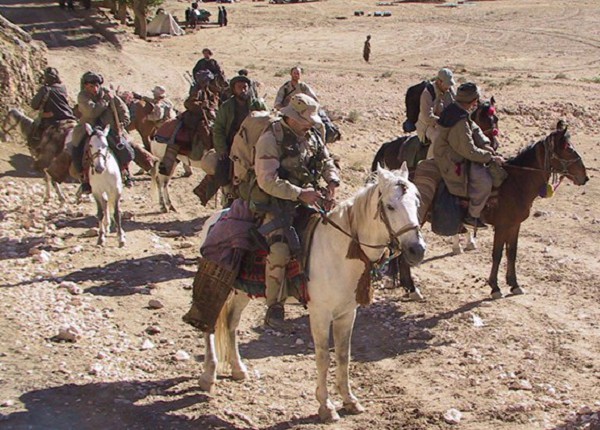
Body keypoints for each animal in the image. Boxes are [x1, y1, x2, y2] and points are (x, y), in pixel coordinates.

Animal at [197, 165, 426, 424]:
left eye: (416, 202)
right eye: (390, 206)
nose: (417, 250)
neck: (338, 251)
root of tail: (214, 218)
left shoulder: (347, 314)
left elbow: (344, 355)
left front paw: (349, 400)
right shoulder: (320, 314)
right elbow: (323, 357)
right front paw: (326, 406)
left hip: (242, 292)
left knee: (231, 322)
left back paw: (238, 369)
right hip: (221, 284)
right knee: (209, 324)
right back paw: (208, 375)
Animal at [396, 122, 588, 298]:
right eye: (567, 149)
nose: (584, 177)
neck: (516, 183)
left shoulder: (514, 225)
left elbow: (512, 253)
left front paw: (514, 284)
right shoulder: (502, 226)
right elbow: (497, 254)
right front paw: (495, 287)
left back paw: (407, 286)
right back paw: (412, 289)